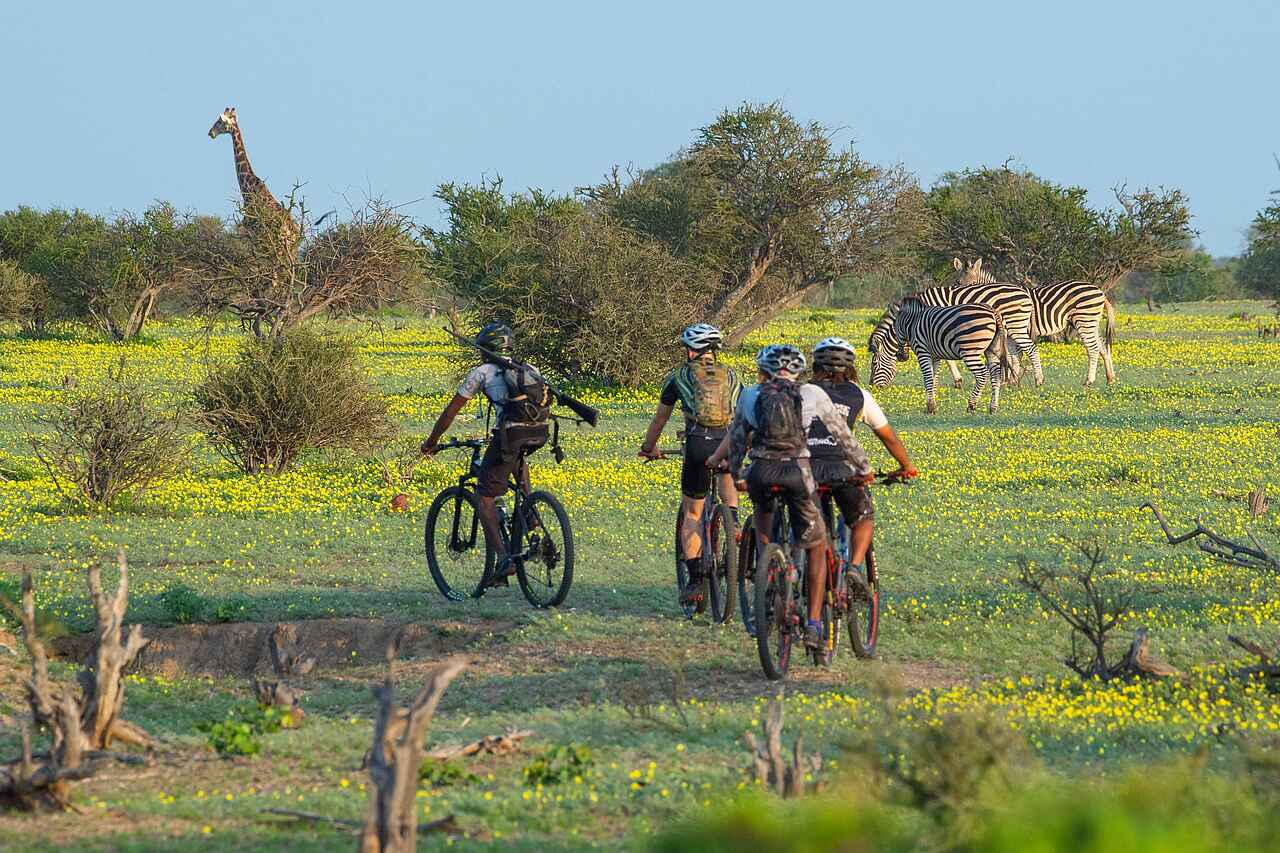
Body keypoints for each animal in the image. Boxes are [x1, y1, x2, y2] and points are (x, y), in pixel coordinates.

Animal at [868, 297, 1010, 414]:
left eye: (874, 364)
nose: (871, 387)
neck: (912, 323)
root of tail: (993, 311)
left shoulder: (923, 352)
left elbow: (927, 378)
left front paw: (930, 407)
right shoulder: (935, 356)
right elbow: (933, 379)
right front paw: (932, 404)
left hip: (970, 351)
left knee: (982, 374)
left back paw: (971, 405)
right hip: (991, 350)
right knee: (995, 375)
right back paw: (993, 407)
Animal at [915, 257, 1044, 388]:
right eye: (958, 282)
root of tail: (1026, 294)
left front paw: (955, 380)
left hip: (1015, 326)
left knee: (1031, 349)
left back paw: (1038, 380)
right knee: (1016, 352)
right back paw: (1014, 381)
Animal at [956, 258, 1117, 387]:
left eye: (973, 285)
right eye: (958, 282)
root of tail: (1100, 292)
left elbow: (1011, 355)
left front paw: (1009, 380)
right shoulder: (1009, 333)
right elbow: (1014, 355)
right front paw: (1012, 380)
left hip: (1084, 321)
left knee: (1093, 348)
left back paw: (1089, 380)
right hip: (1092, 322)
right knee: (1103, 346)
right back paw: (1110, 378)